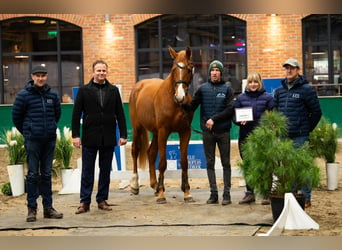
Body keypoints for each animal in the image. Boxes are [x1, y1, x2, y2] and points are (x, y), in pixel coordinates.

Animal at [129, 46, 194, 203]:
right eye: (173, 69)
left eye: (189, 69)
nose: (180, 97)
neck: (175, 103)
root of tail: (139, 85)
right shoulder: (164, 131)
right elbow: (163, 163)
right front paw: (161, 195)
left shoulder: (185, 132)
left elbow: (184, 162)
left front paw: (187, 192)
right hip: (138, 128)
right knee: (135, 150)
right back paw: (135, 185)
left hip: (155, 132)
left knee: (151, 153)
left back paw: (155, 185)